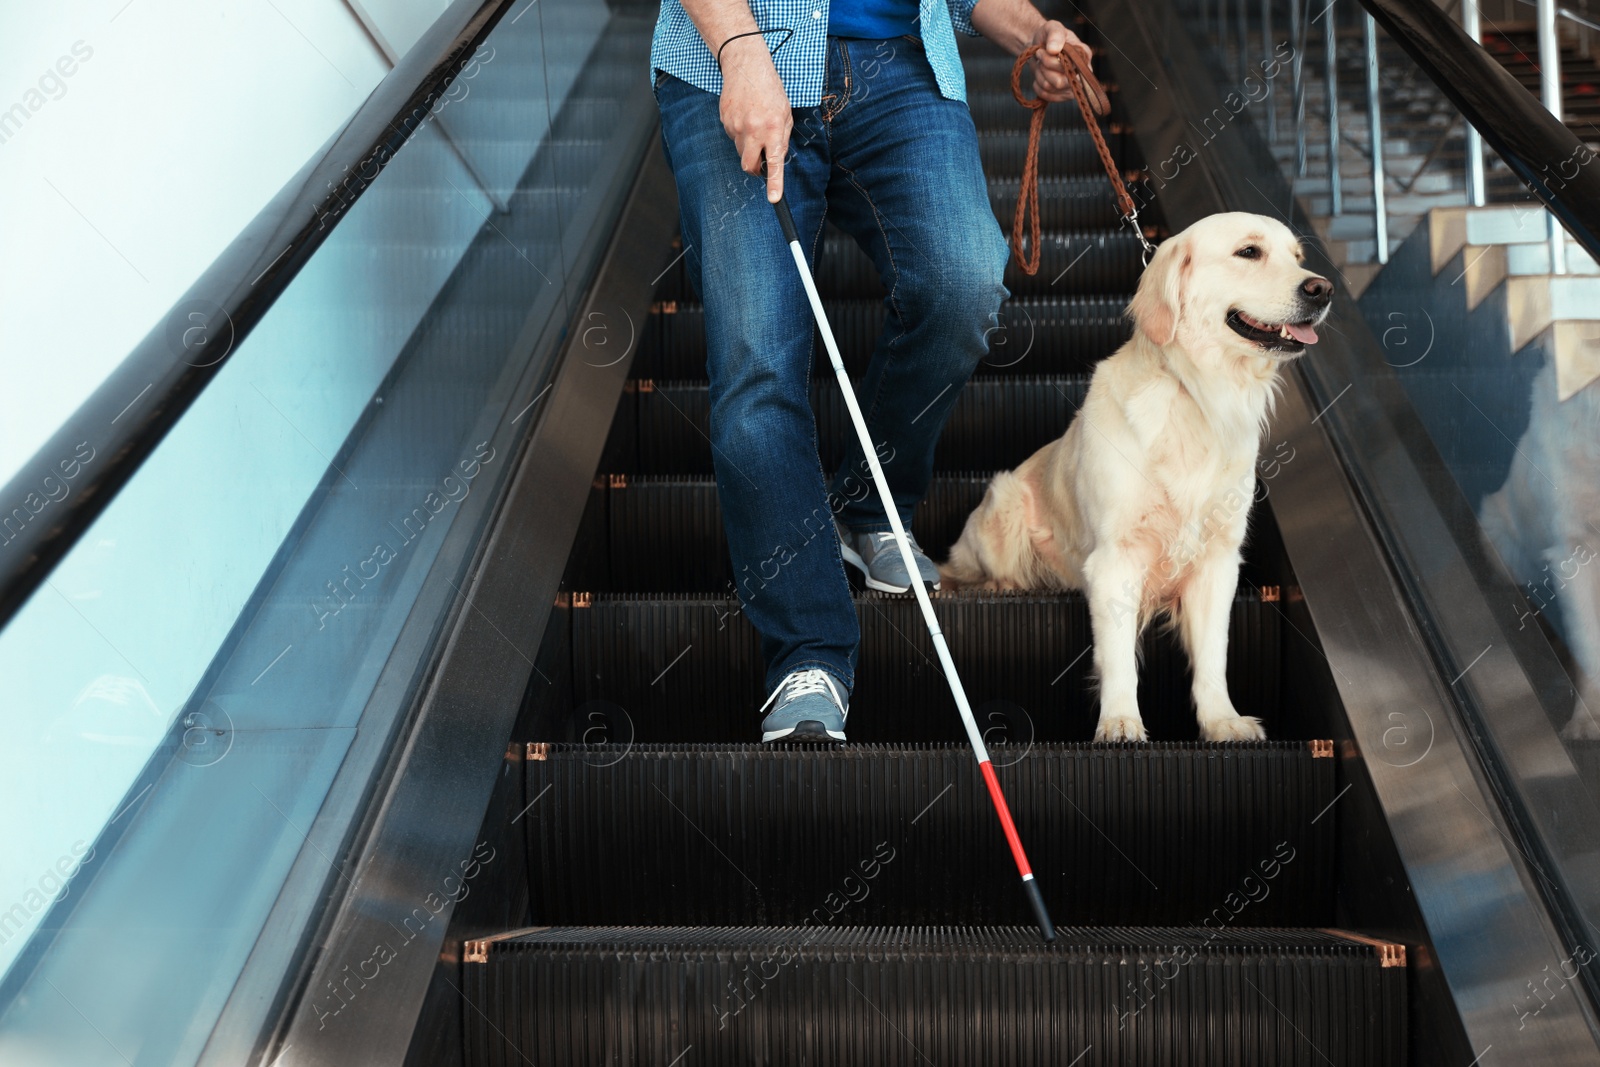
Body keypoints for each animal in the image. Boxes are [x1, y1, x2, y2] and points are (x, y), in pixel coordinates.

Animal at [940, 211, 1331, 742]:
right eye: (1248, 252)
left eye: (1298, 257)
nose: (1323, 289)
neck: (1199, 396)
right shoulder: (1115, 558)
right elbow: (1119, 657)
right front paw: (1120, 721)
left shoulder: (1218, 561)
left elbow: (1214, 655)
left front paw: (1222, 720)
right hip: (1002, 506)